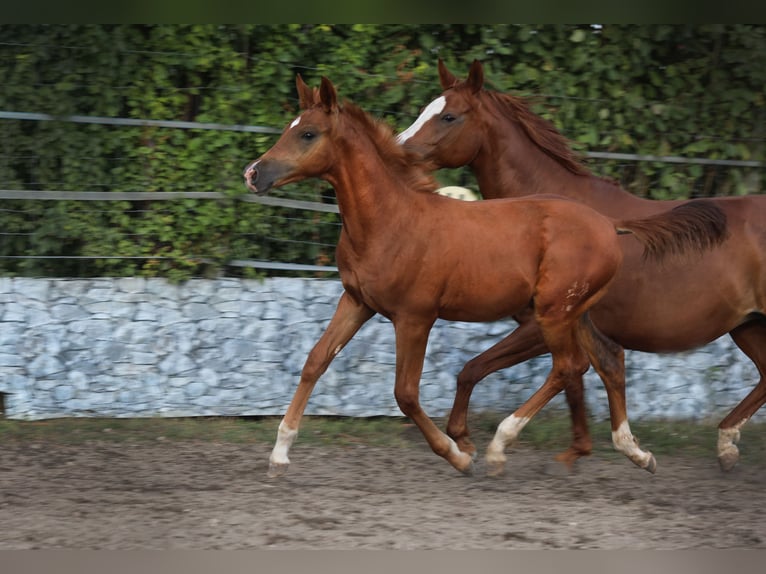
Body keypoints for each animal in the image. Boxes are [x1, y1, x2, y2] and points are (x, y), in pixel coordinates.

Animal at [246, 74, 732, 480]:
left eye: (308, 133)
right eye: (290, 126)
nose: (254, 174)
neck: (390, 220)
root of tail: (610, 225)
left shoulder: (415, 317)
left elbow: (406, 393)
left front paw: (459, 454)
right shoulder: (357, 301)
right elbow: (315, 361)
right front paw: (280, 453)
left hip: (552, 312)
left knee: (568, 366)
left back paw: (502, 445)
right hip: (574, 312)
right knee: (605, 360)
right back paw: (635, 452)